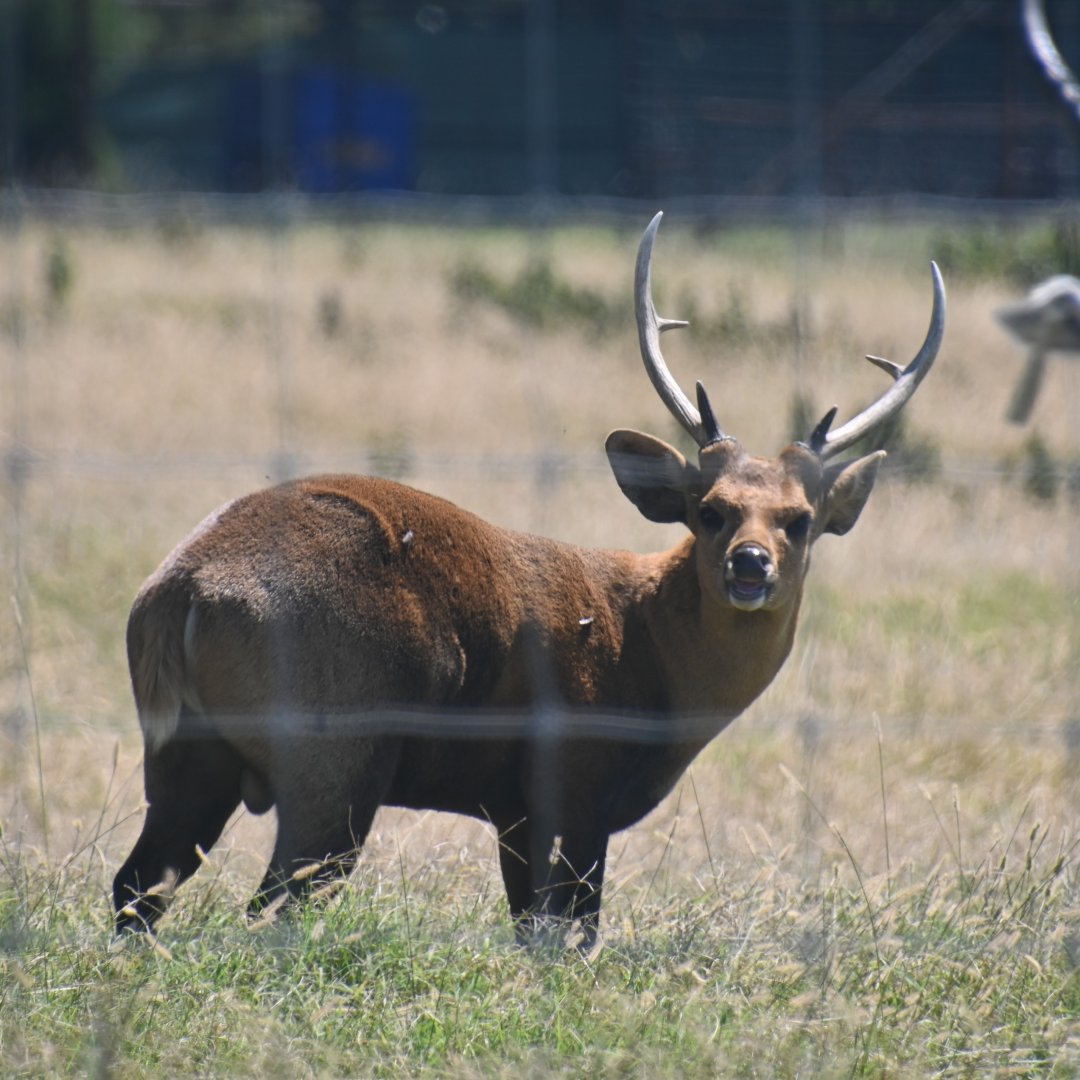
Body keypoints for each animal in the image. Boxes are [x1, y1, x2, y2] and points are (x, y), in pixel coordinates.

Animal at [113, 213, 946, 947]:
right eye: (709, 510)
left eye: (799, 519)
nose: (750, 564)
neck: (648, 656)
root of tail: (181, 592)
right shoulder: (571, 784)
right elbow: (568, 938)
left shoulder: (515, 810)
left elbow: (530, 930)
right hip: (335, 750)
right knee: (270, 906)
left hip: (187, 757)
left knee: (138, 886)